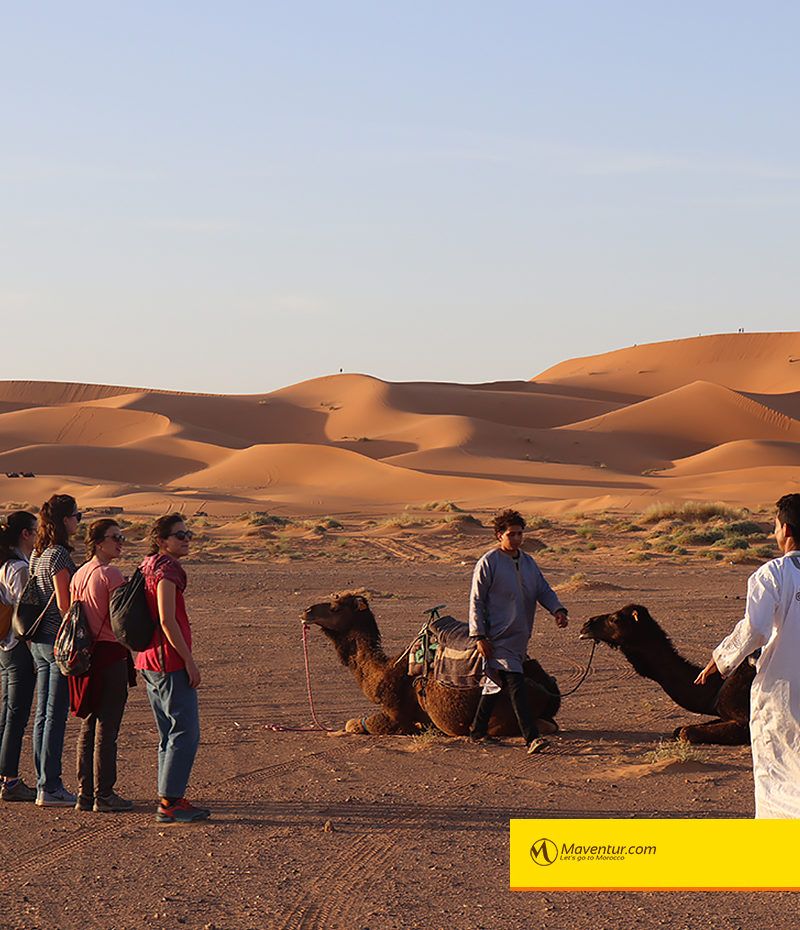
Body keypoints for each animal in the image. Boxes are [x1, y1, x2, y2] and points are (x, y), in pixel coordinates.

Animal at [302, 592, 564, 736]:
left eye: (335, 607)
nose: (307, 611)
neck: (384, 672)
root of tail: (550, 690)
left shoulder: (396, 717)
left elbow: (353, 724)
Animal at [580, 600, 752, 748]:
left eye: (614, 619)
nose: (586, 625)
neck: (716, 686)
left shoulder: (744, 721)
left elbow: (685, 732)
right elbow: (678, 730)